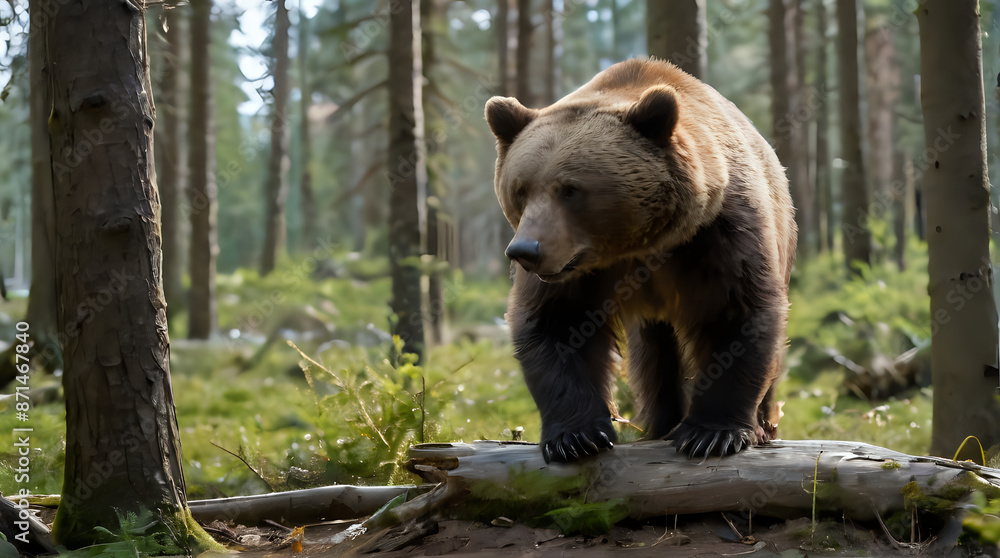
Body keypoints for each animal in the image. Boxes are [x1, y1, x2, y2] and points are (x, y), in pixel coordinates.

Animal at [485, 58, 797, 463]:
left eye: (570, 190)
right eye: (520, 190)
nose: (525, 251)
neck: (634, 246)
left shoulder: (719, 232)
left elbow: (737, 313)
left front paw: (711, 434)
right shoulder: (575, 270)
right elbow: (556, 323)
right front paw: (575, 437)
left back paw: (760, 427)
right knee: (654, 359)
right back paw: (660, 423)